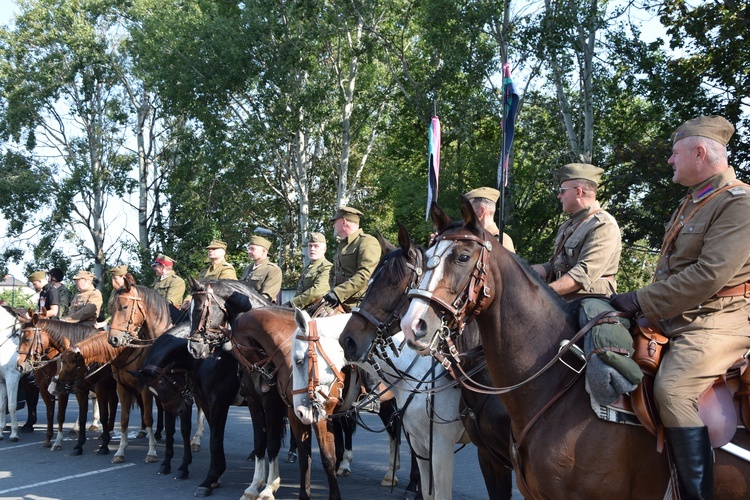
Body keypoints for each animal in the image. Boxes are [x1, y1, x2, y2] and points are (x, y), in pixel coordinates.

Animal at [140, 322, 245, 498]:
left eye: (163, 386)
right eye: (154, 391)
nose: (179, 411)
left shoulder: (218, 403)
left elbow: (213, 440)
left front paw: (208, 479)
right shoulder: (204, 402)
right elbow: (213, 436)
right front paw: (216, 473)